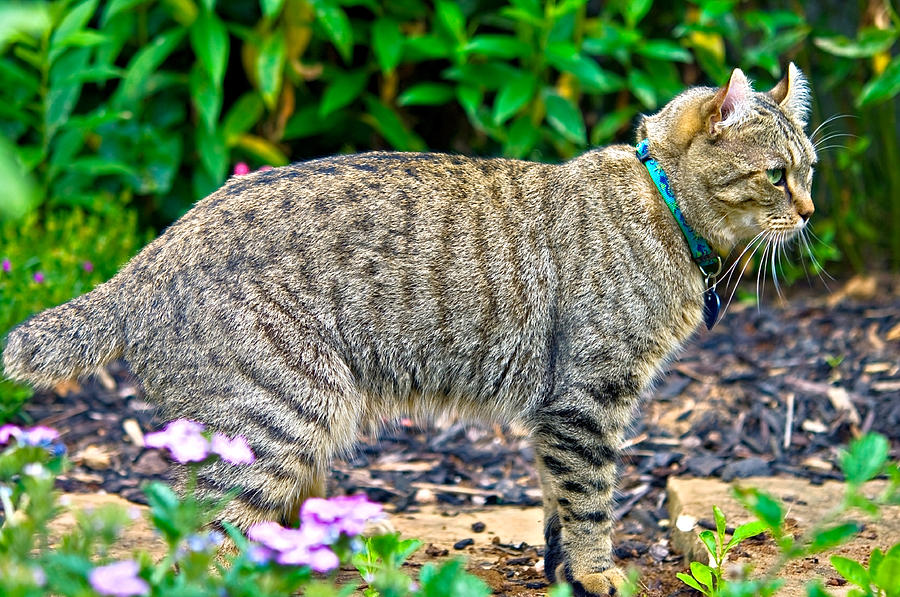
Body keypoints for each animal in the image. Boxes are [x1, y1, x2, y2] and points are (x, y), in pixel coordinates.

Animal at [3, 62, 816, 592]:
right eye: (777, 175)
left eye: (809, 169)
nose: (810, 211)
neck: (663, 210)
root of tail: (143, 262)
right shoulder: (586, 401)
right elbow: (589, 498)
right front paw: (596, 572)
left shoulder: (560, 413)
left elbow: (555, 504)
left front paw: (561, 573)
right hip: (282, 417)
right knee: (196, 541)